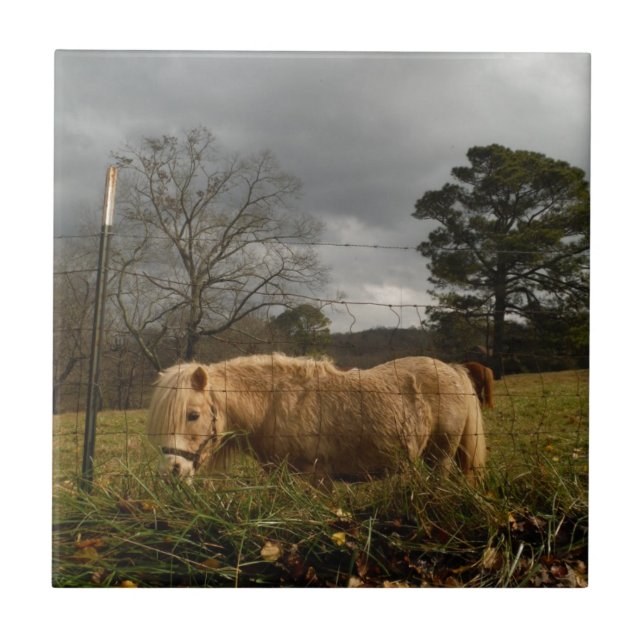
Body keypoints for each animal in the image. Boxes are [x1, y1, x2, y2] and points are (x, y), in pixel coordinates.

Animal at [146, 354, 486, 486]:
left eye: (193, 415)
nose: (171, 472)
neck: (273, 403)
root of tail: (453, 370)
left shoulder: (316, 478)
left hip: (441, 457)